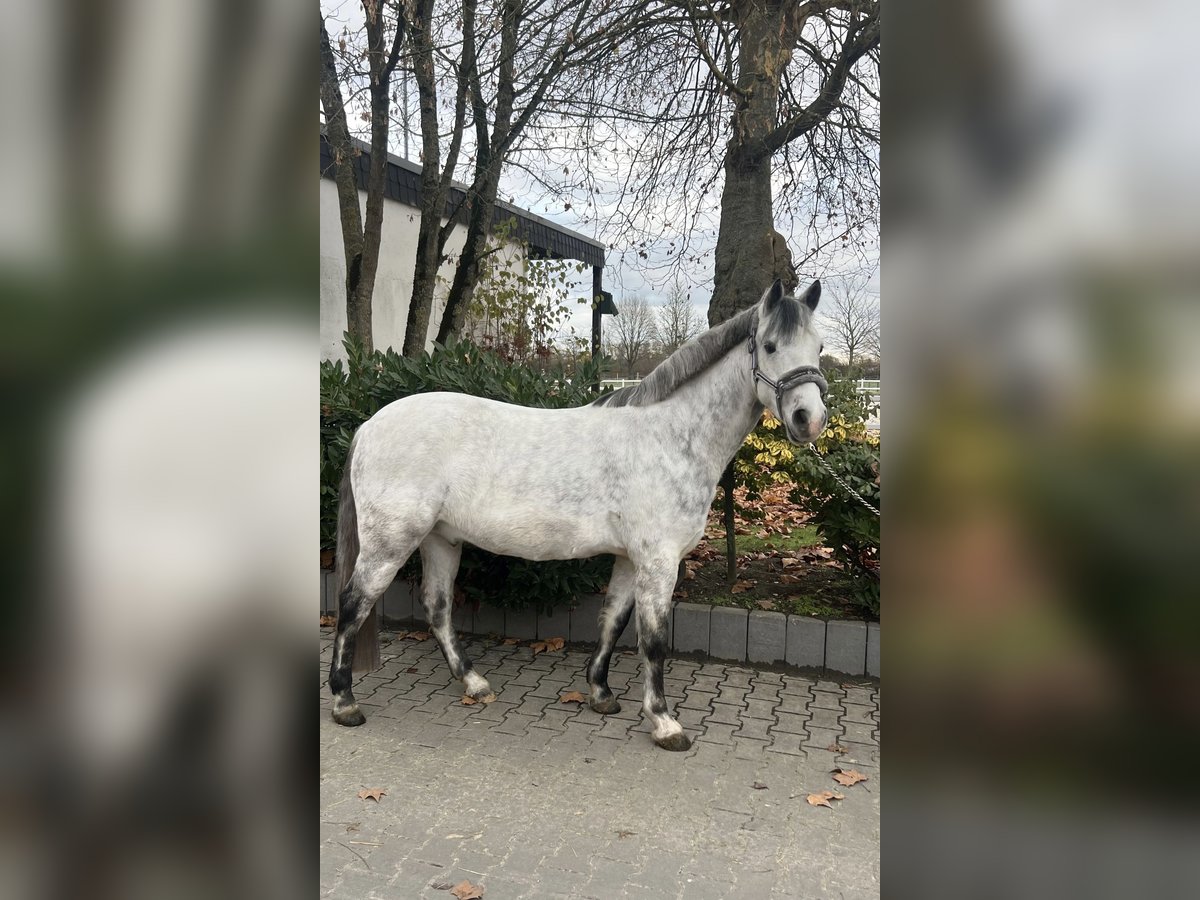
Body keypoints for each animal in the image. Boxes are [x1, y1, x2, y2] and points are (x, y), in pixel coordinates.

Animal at [330, 278, 827, 751]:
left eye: (819, 347)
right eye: (770, 346)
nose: (810, 419)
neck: (670, 437)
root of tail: (370, 425)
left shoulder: (630, 558)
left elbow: (612, 622)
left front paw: (601, 694)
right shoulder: (659, 561)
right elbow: (653, 639)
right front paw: (664, 723)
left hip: (440, 539)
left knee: (437, 607)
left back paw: (473, 683)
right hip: (391, 542)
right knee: (353, 604)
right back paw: (344, 702)